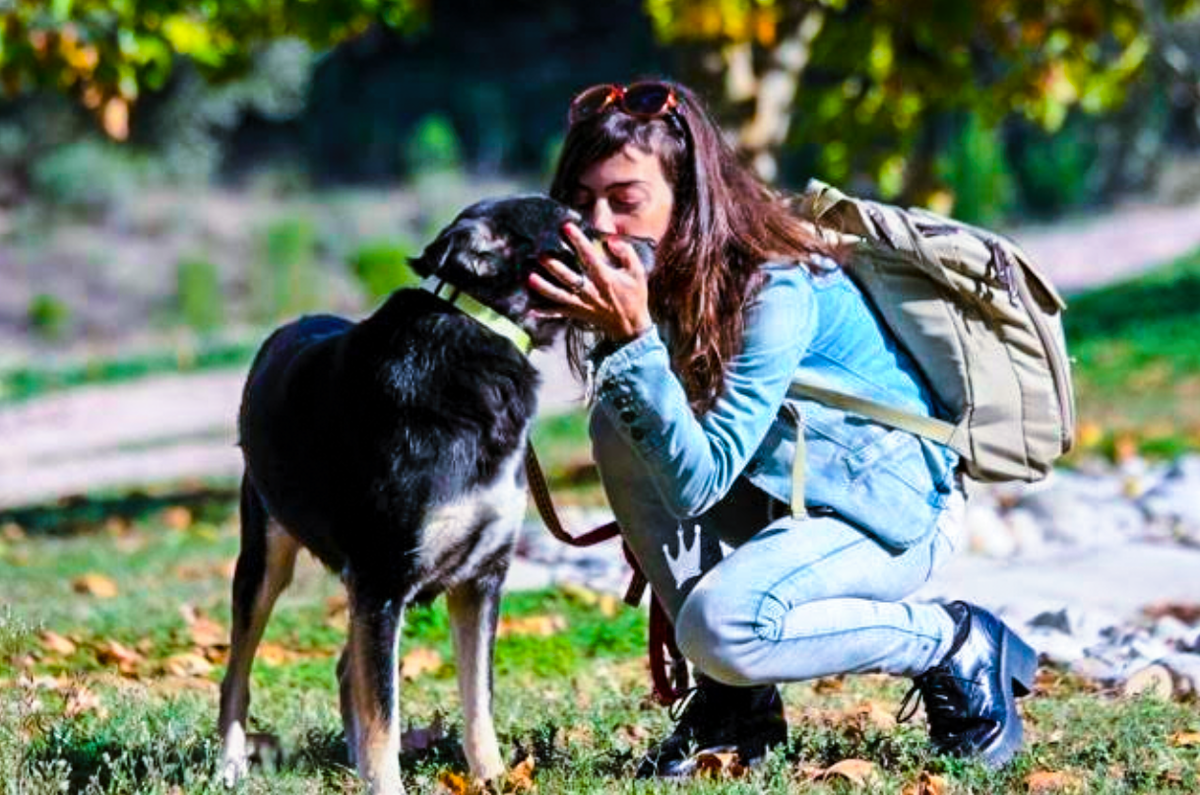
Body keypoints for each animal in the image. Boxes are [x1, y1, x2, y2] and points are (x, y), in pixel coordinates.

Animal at [219, 194, 657, 795]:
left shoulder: (480, 577)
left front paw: (494, 778)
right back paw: (230, 764)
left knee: (347, 671)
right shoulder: (381, 579)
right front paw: (386, 787)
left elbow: (478, 700)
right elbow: (384, 716)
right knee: (239, 671)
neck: (484, 332)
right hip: (266, 560)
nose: (651, 244)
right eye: (575, 228)